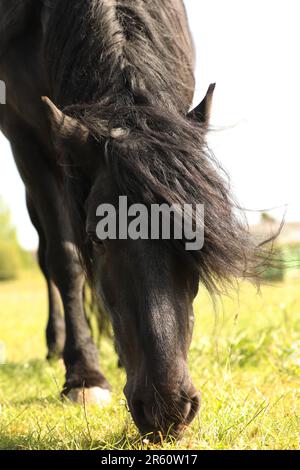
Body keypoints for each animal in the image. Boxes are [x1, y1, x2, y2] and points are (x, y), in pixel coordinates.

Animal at [0, 0, 262, 436]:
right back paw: (58, 345)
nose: (166, 408)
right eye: (98, 238)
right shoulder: (24, 137)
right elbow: (66, 260)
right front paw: (84, 377)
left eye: (194, 235)